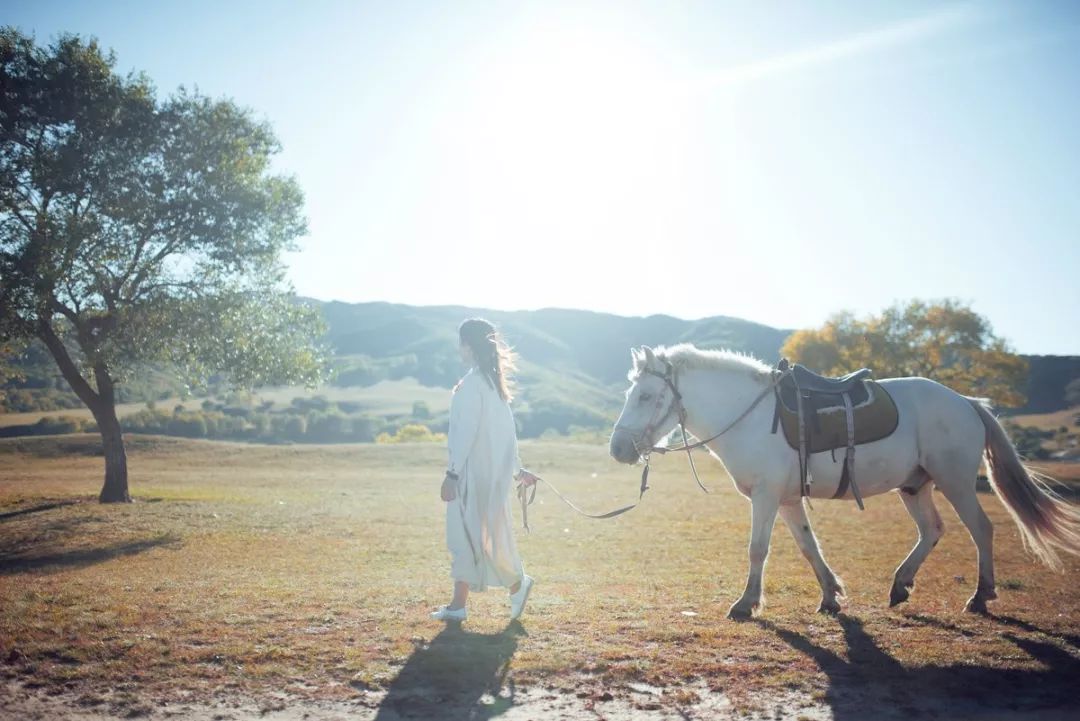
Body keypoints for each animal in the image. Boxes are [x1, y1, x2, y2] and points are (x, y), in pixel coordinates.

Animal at [609, 345, 1080, 617]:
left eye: (646, 396)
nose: (618, 449)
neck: (750, 416)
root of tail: (965, 401)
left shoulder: (765, 497)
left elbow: (758, 549)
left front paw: (745, 604)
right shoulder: (786, 500)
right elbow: (808, 545)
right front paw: (831, 595)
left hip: (956, 481)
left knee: (980, 529)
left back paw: (980, 596)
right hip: (915, 486)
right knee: (932, 530)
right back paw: (900, 586)